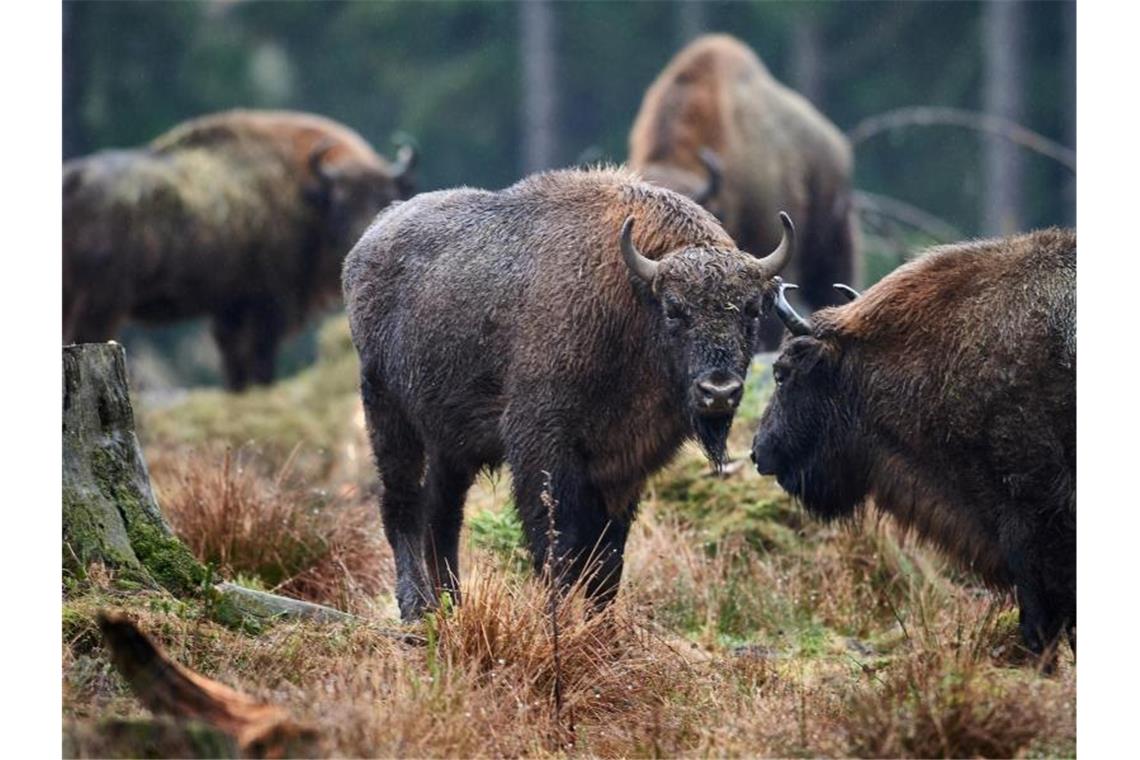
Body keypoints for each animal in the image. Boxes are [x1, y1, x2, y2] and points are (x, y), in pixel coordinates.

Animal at [63, 109, 419, 391]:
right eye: (341, 204)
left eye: (384, 197)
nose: (362, 239)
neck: (305, 192)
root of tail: (73, 181)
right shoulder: (266, 307)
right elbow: (258, 361)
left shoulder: (231, 308)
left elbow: (236, 364)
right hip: (104, 303)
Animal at [342, 165, 798, 619]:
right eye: (674, 309)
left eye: (752, 309)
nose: (718, 391)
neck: (633, 299)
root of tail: (367, 242)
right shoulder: (543, 448)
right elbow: (556, 546)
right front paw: (554, 620)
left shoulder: (622, 466)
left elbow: (607, 559)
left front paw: (601, 629)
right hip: (388, 414)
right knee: (402, 505)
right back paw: (417, 609)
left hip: (448, 443)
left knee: (443, 515)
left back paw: (451, 605)